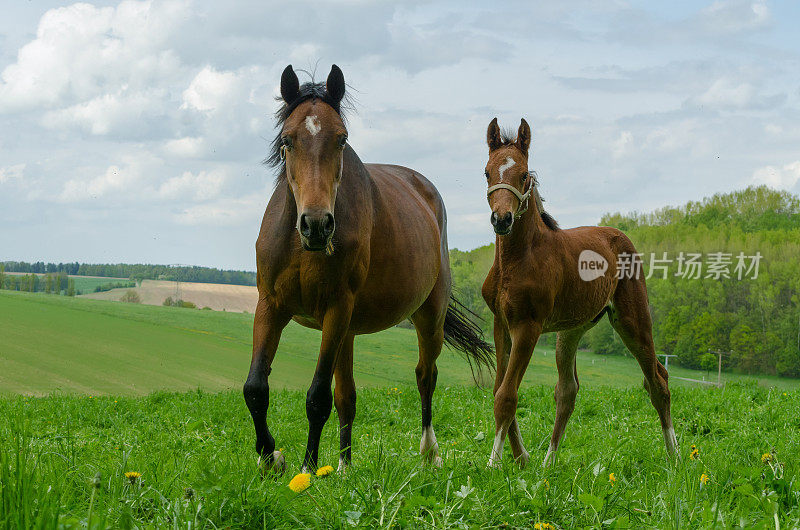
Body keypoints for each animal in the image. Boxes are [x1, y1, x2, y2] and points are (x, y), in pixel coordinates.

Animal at [242, 64, 494, 472]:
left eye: (341, 139)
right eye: (288, 139)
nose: (316, 225)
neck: (302, 248)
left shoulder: (336, 309)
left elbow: (316, 397)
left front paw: (306, 468)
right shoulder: (271, 306)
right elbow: (255, 389)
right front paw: (271, 458)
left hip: (428, 317)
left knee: (425, 376)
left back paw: (430, 452)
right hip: (346, 331)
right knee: (347, 396)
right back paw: (344, 466)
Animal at [478, 117, 680, 464]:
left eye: (523, 175)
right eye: (488, 173)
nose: (501, 220)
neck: (517, 259)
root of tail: (619, 236)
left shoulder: (528, 327)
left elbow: (506, 396)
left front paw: (493, 465)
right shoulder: (501, 324)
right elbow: (501, 389)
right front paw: (521, 458)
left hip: (633, 320)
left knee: (658, 381)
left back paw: (676, 456)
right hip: (570, 331)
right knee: (567, 391)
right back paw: (547, 464)